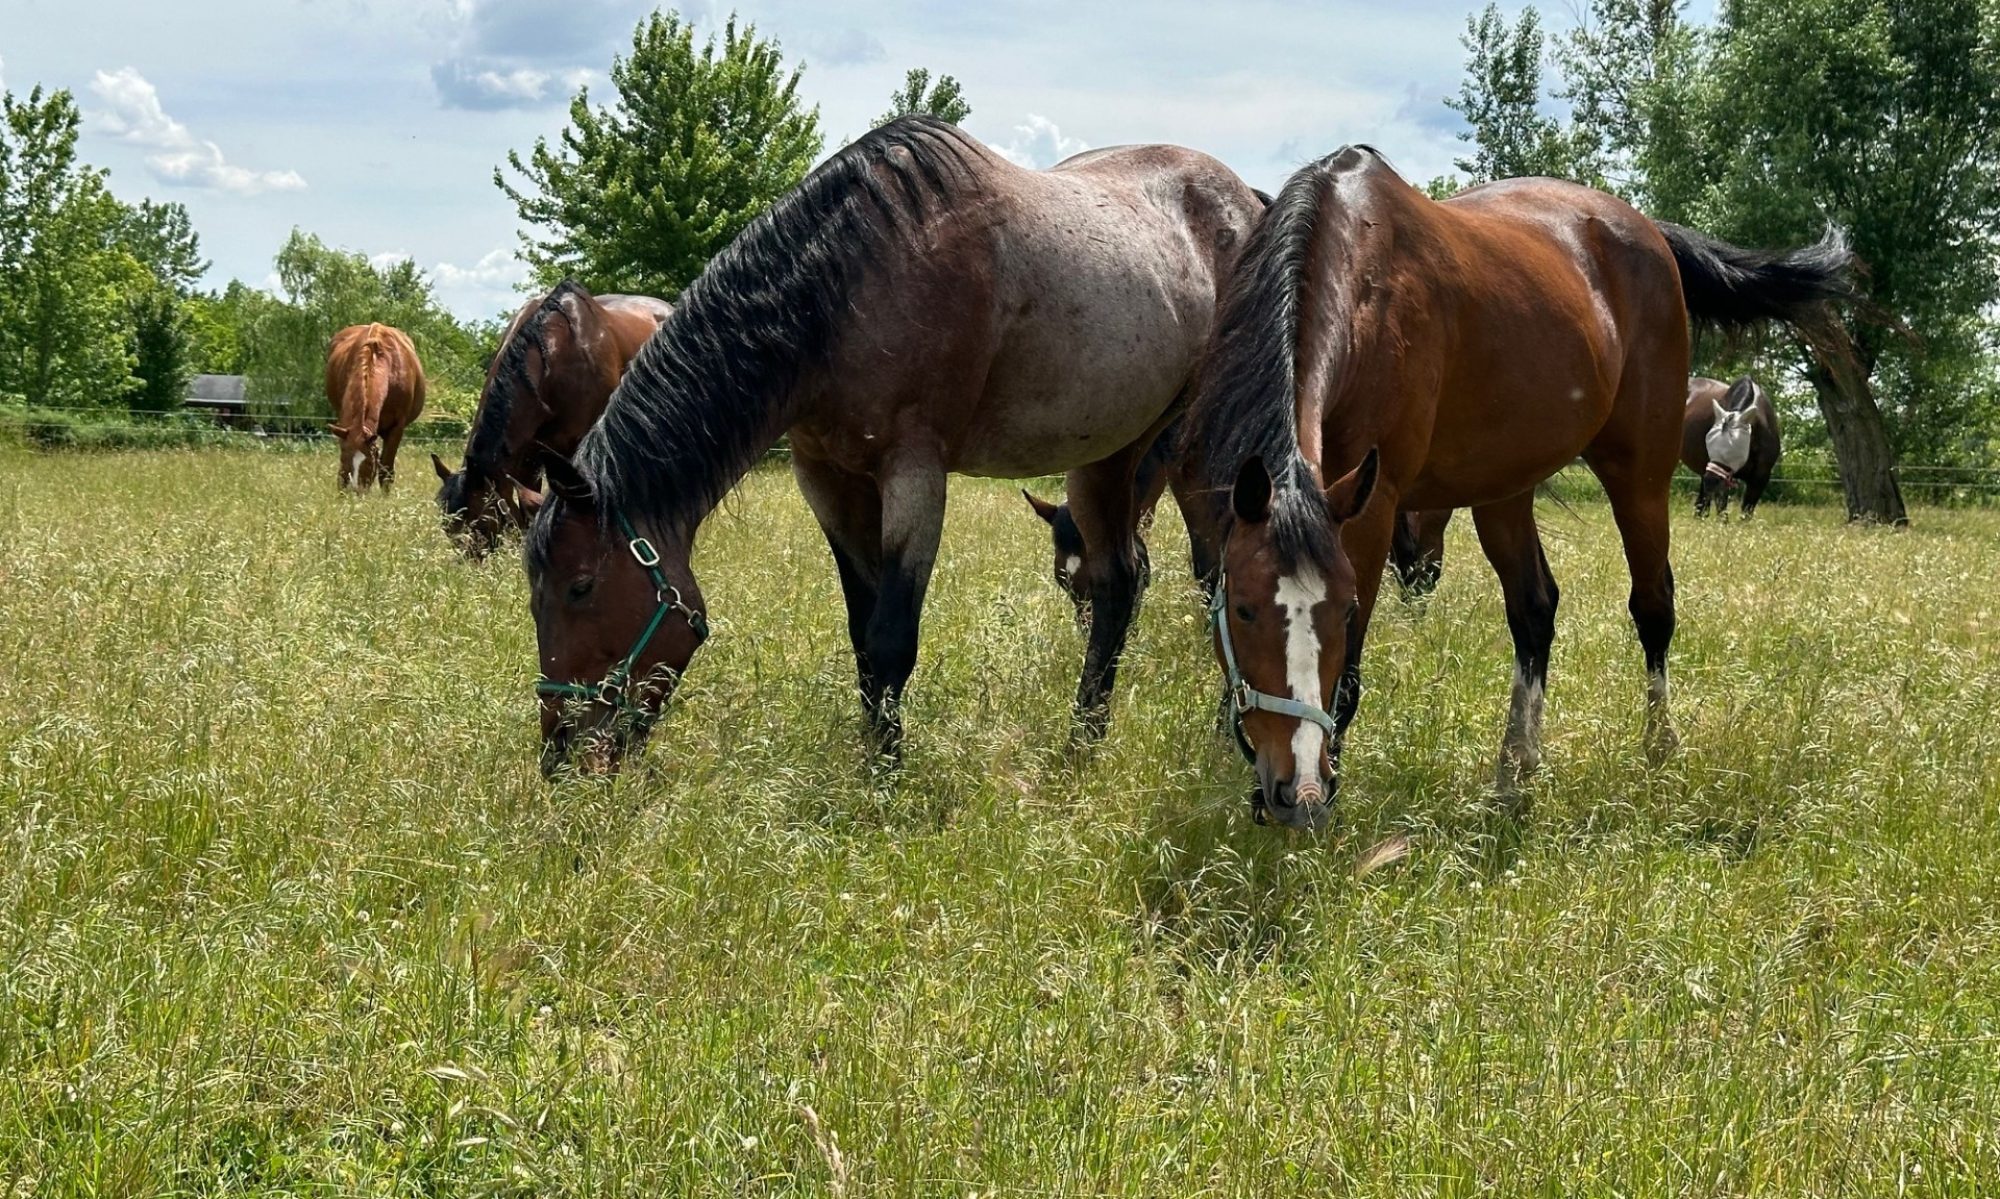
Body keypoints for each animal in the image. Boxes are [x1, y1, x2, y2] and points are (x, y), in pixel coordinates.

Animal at [524, 119, 1256, 779]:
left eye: (580, 586)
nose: (560, 756)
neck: (842, 293)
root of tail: (1247, 202)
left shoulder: (914, 472)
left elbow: (892, 638)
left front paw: (886, 787)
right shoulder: (829, 478)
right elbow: (863, 638)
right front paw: (875, 760)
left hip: (1200, 455)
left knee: (1220, 571)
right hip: (1110, 453)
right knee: (1116, 585)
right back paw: (1082, 745)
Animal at [1672, 375, 1784, 515]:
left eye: (1734, 447)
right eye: (1708, 441)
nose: (1711, 481)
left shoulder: (1759, 479)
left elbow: (1745, 513)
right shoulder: (1722, 480)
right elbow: (1722, 513)